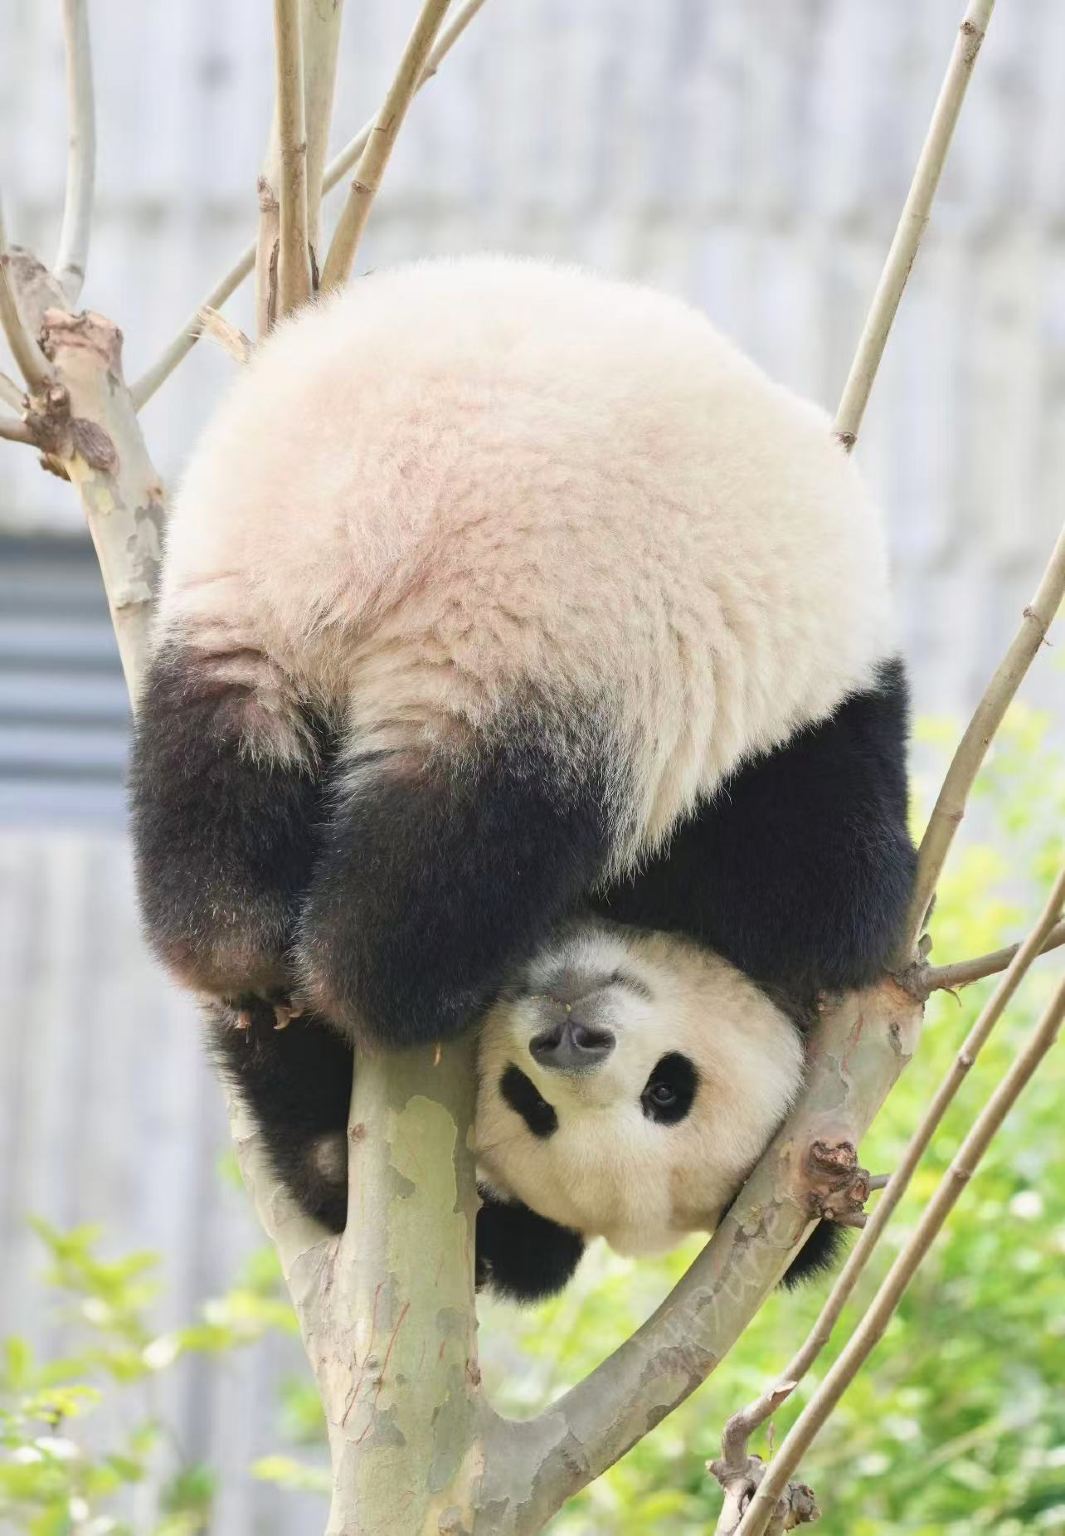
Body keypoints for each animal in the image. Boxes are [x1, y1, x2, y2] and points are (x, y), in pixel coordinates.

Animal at [130, 255, 915, 1294]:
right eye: (533, 1103)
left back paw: (232, 942)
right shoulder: (787, 766)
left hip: (250, 570)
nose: (571, 1039)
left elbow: (321, 1155)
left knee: (221, 755)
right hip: (569, 626)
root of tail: (381, 537)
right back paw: (382, 975)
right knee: (474, 833)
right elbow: (831, 900)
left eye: (666, 1094)